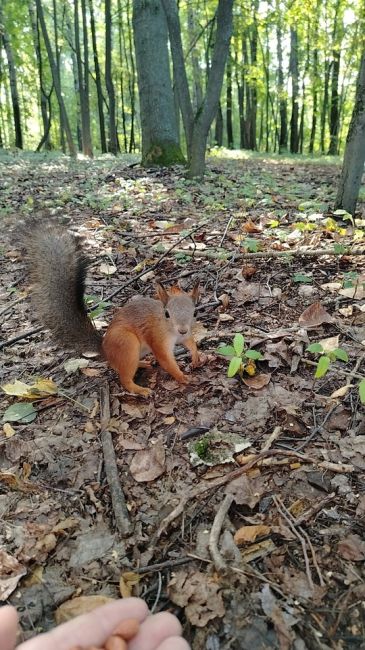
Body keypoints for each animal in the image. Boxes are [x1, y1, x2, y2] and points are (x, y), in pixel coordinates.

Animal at [20, 221, 199, 394]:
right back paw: (140, 389)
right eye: (167, 314)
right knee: (124, 378)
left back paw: (142, 364)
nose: (182, 329)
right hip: (126, 344)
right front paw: (182, 377)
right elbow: (166, 361)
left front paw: (196, 357)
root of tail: (105, 349)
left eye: (194, 312)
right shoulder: (157, 339)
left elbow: (191, 343)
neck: (172, 332)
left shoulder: (186, 336)